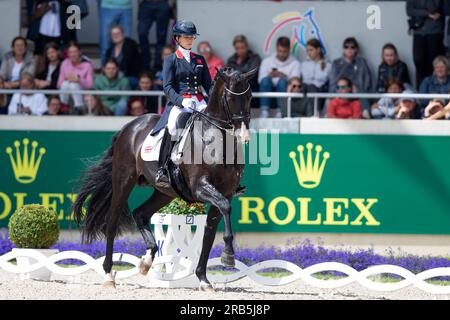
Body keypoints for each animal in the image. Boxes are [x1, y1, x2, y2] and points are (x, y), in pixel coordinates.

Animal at [73, 67, 256, 290]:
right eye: (230, 98)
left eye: (250, 97)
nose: (244, 135)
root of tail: (130, 126)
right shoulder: (200, 187)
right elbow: (224, 210)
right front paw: (228, 255)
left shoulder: (226, 192)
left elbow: (210, 233)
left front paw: (203, 279)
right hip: (123, 181)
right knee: (112, 222)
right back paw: (109, 275)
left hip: (165, 192)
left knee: (140, 213)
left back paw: (146, 261)